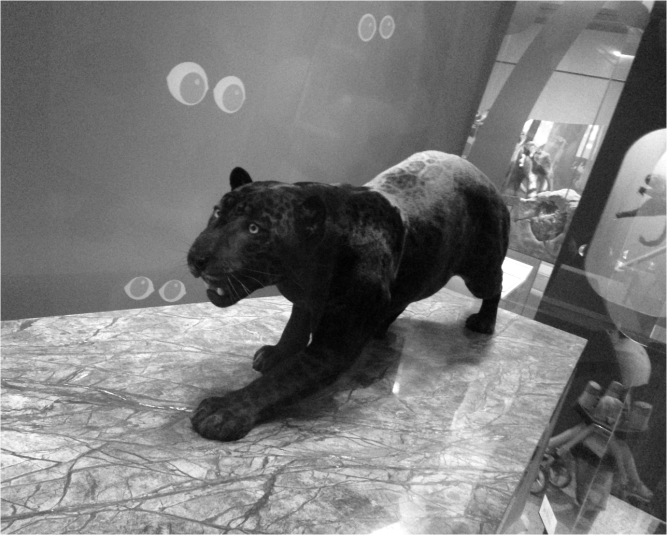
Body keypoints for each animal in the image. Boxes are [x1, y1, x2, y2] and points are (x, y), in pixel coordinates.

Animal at [187, 151, 510, 441]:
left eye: (255, 229)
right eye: (218, 212)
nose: (196, 257)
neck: (302, 270)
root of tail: (486, 178)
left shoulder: (332, 347)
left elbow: (281, 381)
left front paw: (225, 411)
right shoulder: (305, 303)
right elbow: (293, 331)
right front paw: (276, 354)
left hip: (480, 272)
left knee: (497, 284)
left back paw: (484, 322)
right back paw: (380, 327)